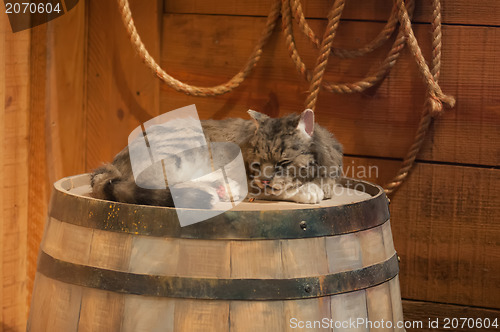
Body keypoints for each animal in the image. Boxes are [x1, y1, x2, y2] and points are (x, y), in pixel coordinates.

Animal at [90, 109, 342, 208]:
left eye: (283, 163)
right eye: (258, 163)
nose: (265, 179)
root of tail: (111, 167)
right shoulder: (251, 181)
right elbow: (280, 191)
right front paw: (308, 191)